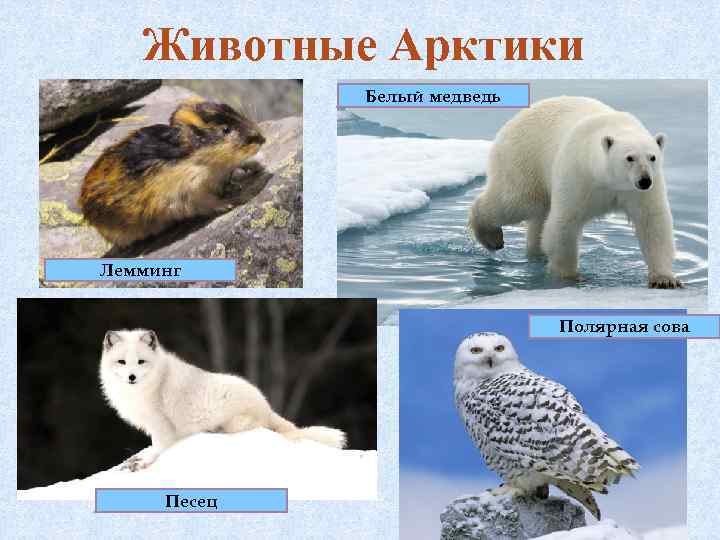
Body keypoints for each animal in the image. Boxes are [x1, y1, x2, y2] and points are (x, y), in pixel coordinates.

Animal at [468, 96, 681, 289]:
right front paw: (570, 277)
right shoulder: (579, 175)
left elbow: (652, 222)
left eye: (652, 157)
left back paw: (535, 254)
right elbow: (565, 223)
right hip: (524, 158)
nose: (644, 180)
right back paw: (492, 238)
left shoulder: (640, 191)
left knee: (538, 217)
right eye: (630, 158)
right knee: (516, 202)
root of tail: (515, 118)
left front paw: (664, 279)